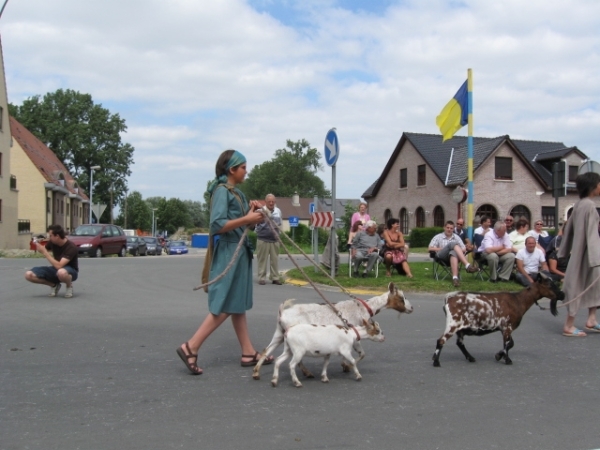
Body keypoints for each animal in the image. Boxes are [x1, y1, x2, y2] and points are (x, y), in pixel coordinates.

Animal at [253, 282, 412, 380]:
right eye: (402, 298)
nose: (411, 308)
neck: (364, 307)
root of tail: (282, 313)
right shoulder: (354, 332)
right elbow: (361, 353)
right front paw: (347, 366)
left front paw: (345, 365)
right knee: (295, 358)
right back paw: (307, 373)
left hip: (279, 333)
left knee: (267, 349)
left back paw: (256, 373)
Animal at [432, 272, 564, 368]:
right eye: (550, 285)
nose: (562, 295)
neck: (518, 300)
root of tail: (449, 299)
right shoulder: (507, 327)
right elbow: (507, 344)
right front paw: (507, 359)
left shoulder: (505, 328)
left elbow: (510, 343)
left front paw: (498, 355)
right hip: (453, 324)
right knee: (441, 340)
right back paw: (436, 362)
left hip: (460, 328)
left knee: (459, 343)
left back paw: (471, 358)